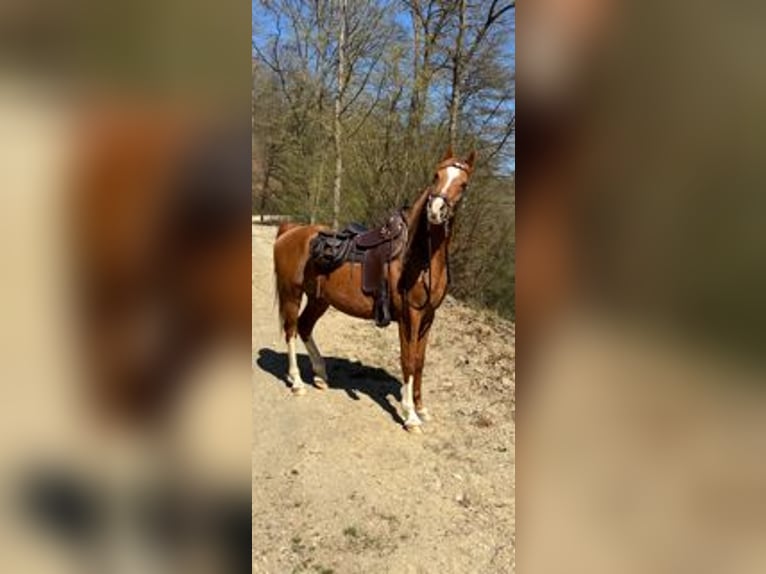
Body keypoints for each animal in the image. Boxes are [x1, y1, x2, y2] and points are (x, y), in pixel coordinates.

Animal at [273, 147, 476, 432]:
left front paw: (421, 408)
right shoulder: (410, 317)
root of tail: (290, 231)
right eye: (436, 176)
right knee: (291, 330)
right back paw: (297, 382)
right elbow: (408, 360)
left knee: (304, 327)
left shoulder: (428, 317)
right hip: (292, 293)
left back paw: (321, 375)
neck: (416, 257)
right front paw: (410, 415)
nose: (436, 210)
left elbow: (420, 362)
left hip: (319, 299)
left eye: (464, 184)